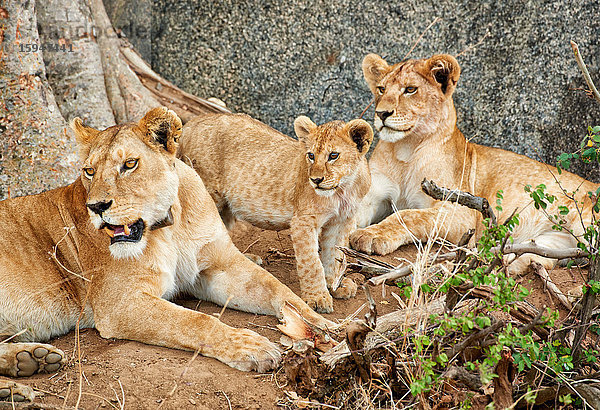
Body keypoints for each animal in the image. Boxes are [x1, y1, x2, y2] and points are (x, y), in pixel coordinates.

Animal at [180, 113, 372, 312]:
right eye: (311, 155)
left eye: (334, 155)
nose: (316, 180)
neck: (343, 189)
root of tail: (193, 122)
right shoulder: (303, 221)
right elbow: (311, 262)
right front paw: (318, 298)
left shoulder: (342, 220)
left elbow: (336, 255)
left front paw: (335, 285)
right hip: (209, 193)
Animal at [350, 52, 596, 274]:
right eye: (381, 89)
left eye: (410, 89)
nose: (382, 114)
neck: (404, 151)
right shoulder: (374, 194)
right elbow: (351, 210)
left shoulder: (461, 211)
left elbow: (408, 215)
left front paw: (371, 235)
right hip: (555, 239)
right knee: (544, 255)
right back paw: (502, 262)